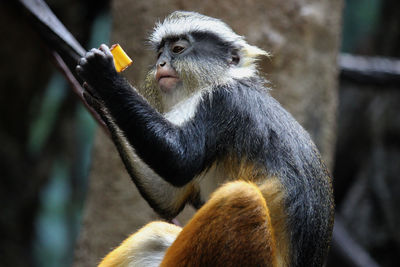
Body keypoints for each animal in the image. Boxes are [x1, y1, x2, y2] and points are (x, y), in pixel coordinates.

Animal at [76, 11, 334, 267]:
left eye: (177, 49)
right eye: (160, 54)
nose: (161, 64)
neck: (221, 79)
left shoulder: (224, 102)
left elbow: (180, 161)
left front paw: (104, 76)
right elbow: (168, 198)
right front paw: (97, 96)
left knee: (242, 197)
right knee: (155, 233)